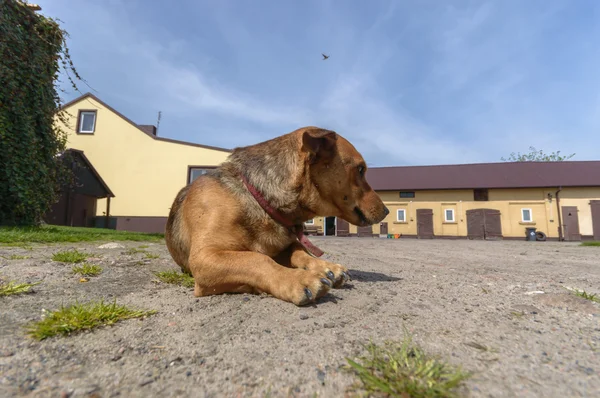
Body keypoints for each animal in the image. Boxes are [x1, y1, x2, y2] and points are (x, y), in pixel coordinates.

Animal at [164, 126, 390, 304]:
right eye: (360, 170)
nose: (387, 210)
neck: (258, 198)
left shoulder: (284, 244)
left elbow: (299, 251)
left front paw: (326, 267)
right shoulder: (205, 257)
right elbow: (257, 259)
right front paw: (298, 279)